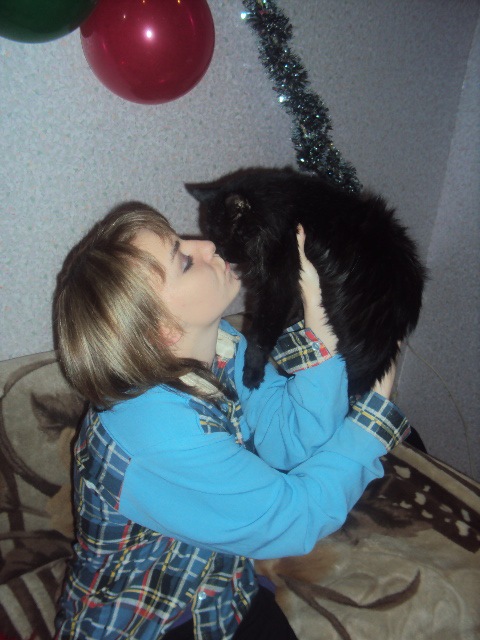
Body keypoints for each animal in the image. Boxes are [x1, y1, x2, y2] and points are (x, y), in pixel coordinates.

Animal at [186, 167, 426, 395]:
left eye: (225, 238)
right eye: (213, 238)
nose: (221, 254)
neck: (285, 211)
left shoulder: (279, 282)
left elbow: (261, 336)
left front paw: (252, 373)